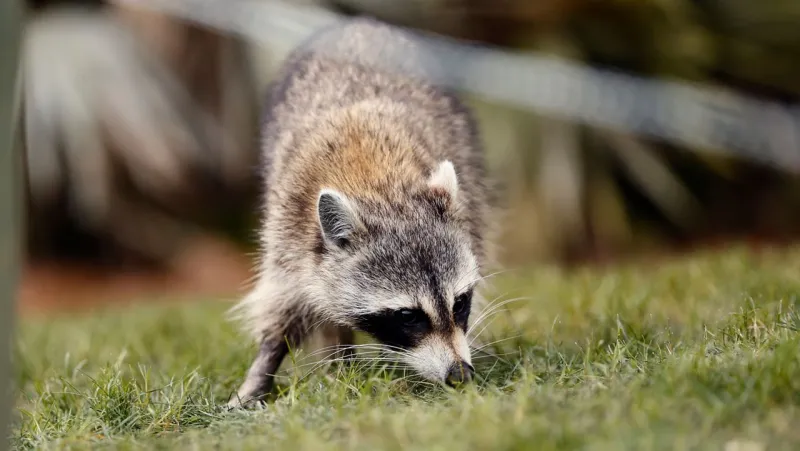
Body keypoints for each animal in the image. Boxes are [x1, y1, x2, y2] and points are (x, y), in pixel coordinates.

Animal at [228, 18, 494, 407]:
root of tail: (362, 24)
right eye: (407, 315)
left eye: (459, 303)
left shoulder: (470, 207)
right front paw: (264, 365)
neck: (376, 183)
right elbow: (285, 302)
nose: (459, 375)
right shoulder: (288, 228)